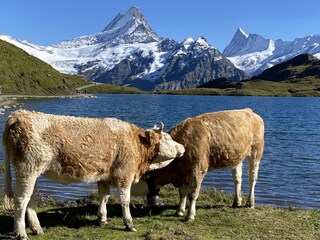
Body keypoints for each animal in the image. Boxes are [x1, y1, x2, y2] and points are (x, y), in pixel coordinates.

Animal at [1, 109, 185, 239]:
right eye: (167, 138)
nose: (183, 147)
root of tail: (18, 114)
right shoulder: (124, 175)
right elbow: (125, 200)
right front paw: (129, 224)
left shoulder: (104, 176)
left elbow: (104, 196)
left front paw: (102, 219)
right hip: (27, 168)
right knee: (21, 199)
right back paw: (21, 233)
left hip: (33, 172)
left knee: (31, 198)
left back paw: (37, 228)